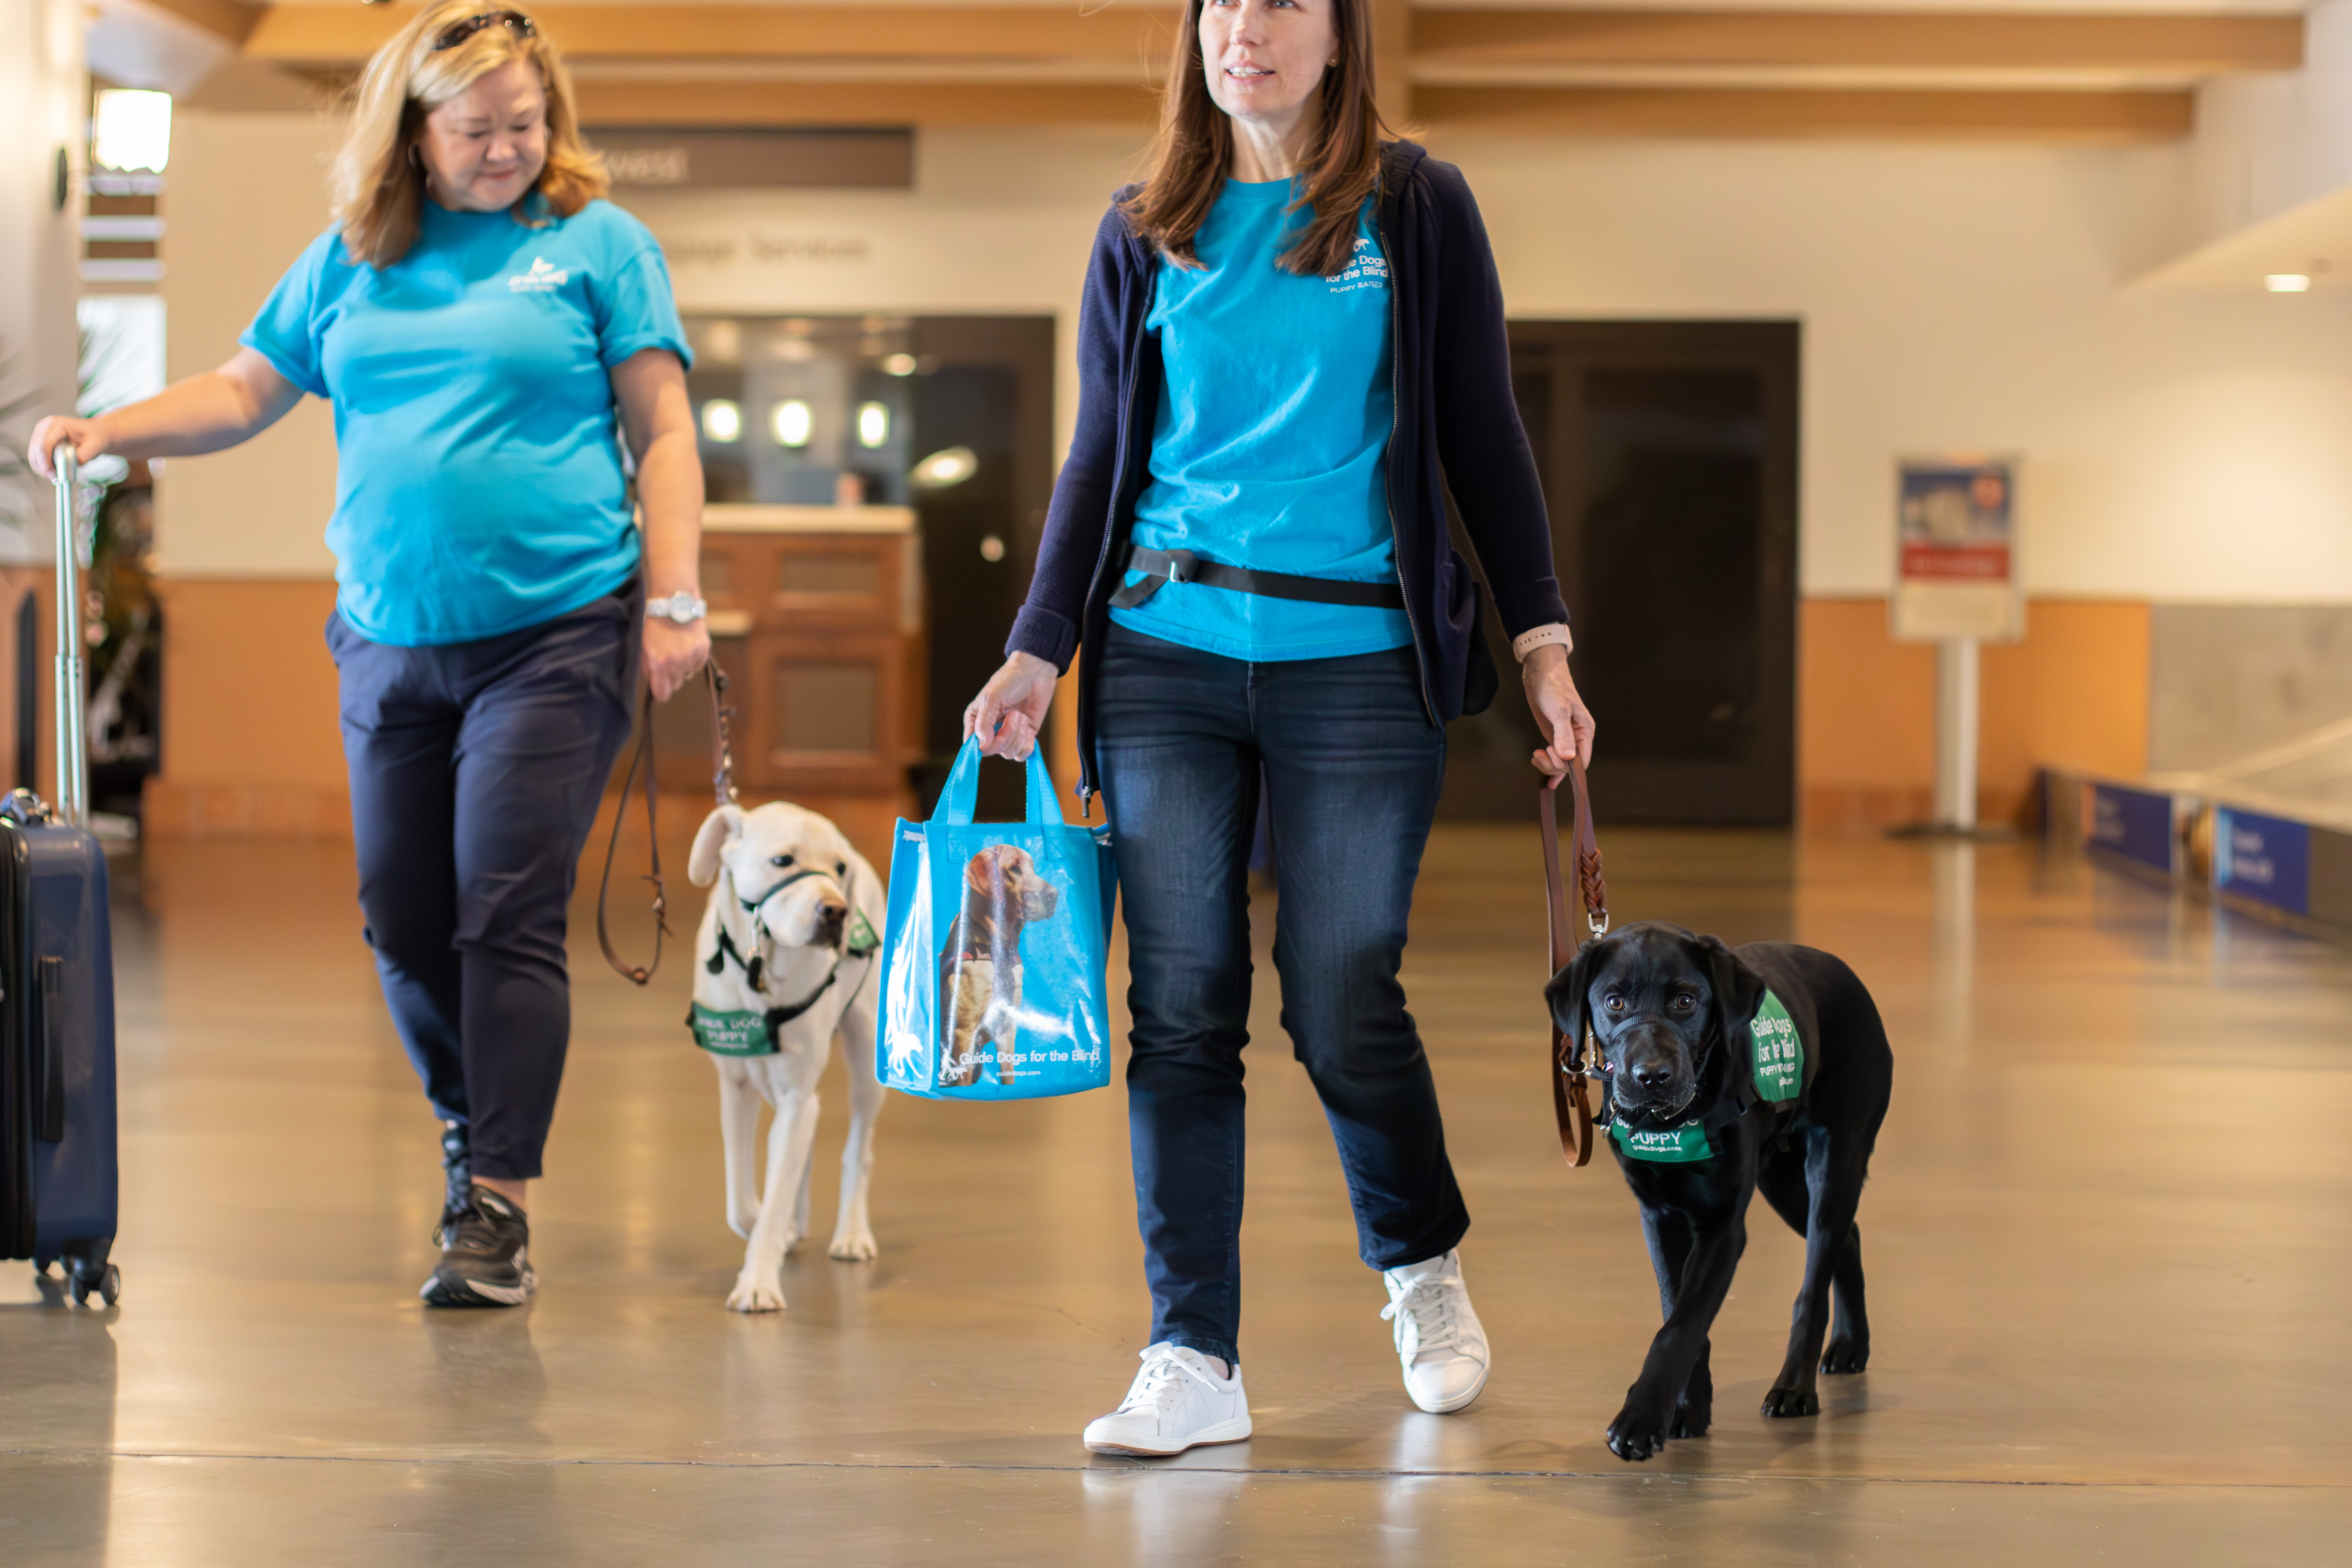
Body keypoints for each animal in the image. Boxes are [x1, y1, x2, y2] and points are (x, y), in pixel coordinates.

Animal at [696, 799, 889, 1316]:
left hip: (867, 1055)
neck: (765, 967)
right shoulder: (738, 1087)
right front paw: (772, 1228)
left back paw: (852, 1233)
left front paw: (758, 1282)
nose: (837, 911)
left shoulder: (796, 1094)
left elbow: (774, 1193)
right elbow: (743, 1202)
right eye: (782, 861)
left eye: (837, 869)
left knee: (858, 1151)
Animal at [1543, 926, 1891, 1467]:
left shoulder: (1724, 1226)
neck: (1670, 1124)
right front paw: (1687, 1407)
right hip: (1782, 1181)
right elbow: (1678, 1307)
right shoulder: (1658, 1215)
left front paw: (1640, 1420)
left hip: (1835, 1158)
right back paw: (1851, 1344)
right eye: (1614, 1001)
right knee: (1848, 1237)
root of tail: (1842, 968)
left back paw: (1796, 1387)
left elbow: (1679, 1327)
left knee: (1816, 1275)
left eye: (1686, 1001)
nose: (1651, 1076)